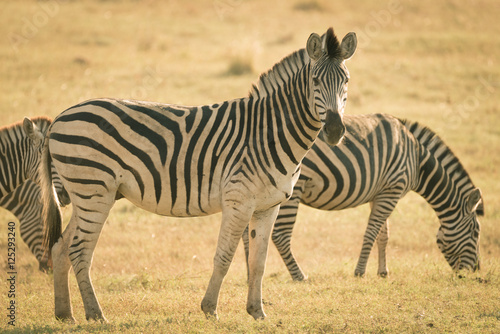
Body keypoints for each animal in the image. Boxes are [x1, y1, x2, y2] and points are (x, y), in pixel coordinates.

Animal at [25, 28, 358, 320]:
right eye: (315, 80)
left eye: (346, 80)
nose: (334, 130)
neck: (269, 133)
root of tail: (60, 116)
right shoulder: (239, 201)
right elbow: (224, 257)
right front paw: (210, 309)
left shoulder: (268, 206)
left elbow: (259, 262)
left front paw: (257, 312)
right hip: (94, 191)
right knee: (80, 250)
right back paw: (96, 315)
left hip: (87, 194)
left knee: (61, 247)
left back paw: (65, 314)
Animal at [244, 113, 482, 280]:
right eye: (475, 233)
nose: (475, 272)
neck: (417, 160)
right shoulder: (393, 189)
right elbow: (371, 232)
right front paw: (360, 272)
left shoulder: (381, 193)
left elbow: (383, 234)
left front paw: (383, 272)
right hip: (292, 189)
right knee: (280, 235)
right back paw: (299, 276)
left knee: (247, 234)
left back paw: (249, 275)